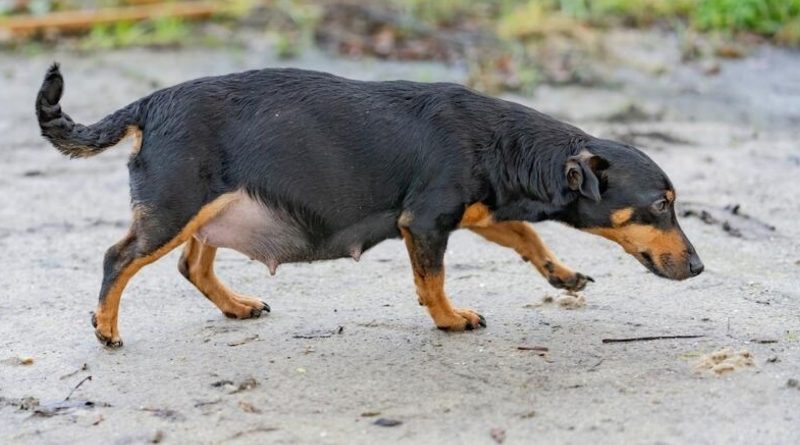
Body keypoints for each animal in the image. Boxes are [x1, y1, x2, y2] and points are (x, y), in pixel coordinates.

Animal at [36, 63, 700, 346]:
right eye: (661, 205)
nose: (698, 267)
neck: (502, 143)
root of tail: (149, 105)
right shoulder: (427, 222)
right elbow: (432, 282)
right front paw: (450, 320)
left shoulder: (479, 212)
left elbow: (531, 239)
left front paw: (563, 275)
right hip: (174, 210)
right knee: (117, 259)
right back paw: (106, 329)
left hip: (207, 212)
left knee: (191, 265)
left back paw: (236, 307)